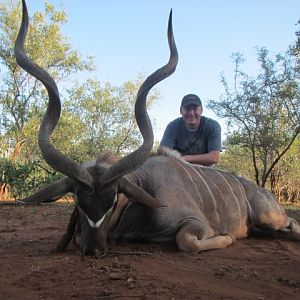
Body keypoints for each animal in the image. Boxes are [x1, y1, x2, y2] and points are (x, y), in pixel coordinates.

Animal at [14, 0, 300, 258]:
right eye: (77, 200)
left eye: (114, 199)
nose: (92, 249)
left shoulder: (195, 223)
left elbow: (187, 241)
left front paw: (228, 236)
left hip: (268, 217)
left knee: (292, 224)